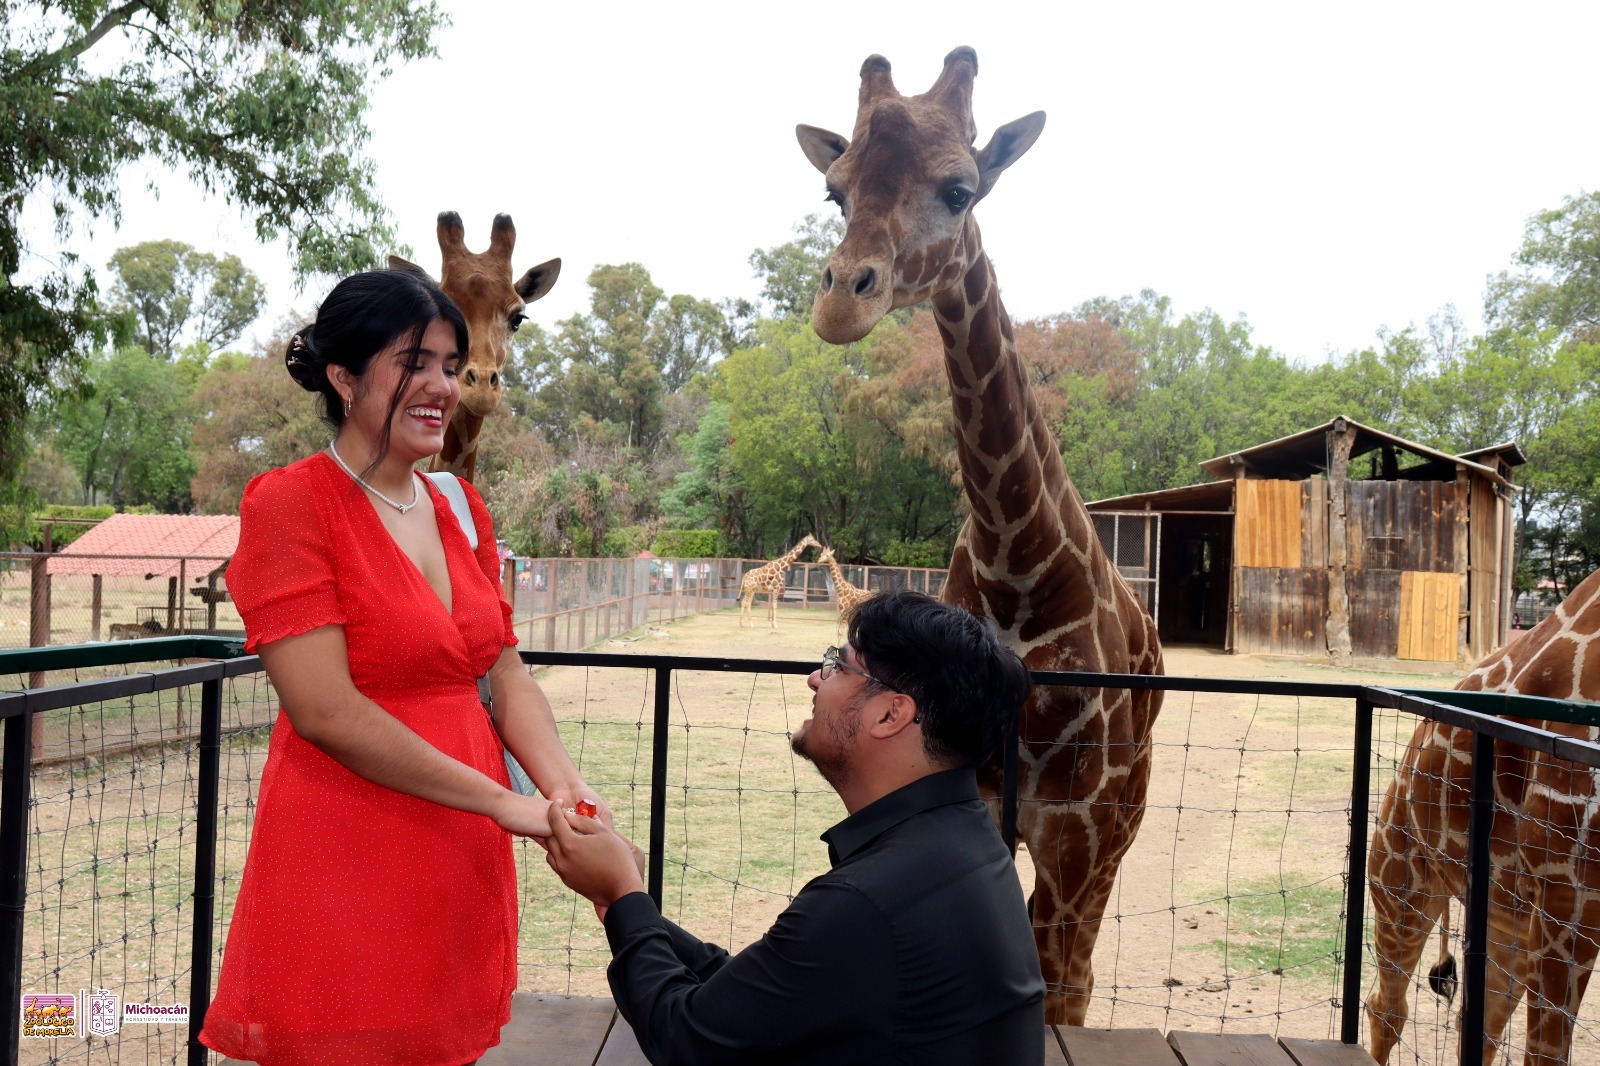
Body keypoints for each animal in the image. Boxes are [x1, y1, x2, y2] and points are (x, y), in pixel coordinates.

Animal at [1363, 560, 1600, 1056]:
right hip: (1400, 878)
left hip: (1507, 920)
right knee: (1389, 1008)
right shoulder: (1567, 891)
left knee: (1478, 1024)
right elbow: (1546, 1051)